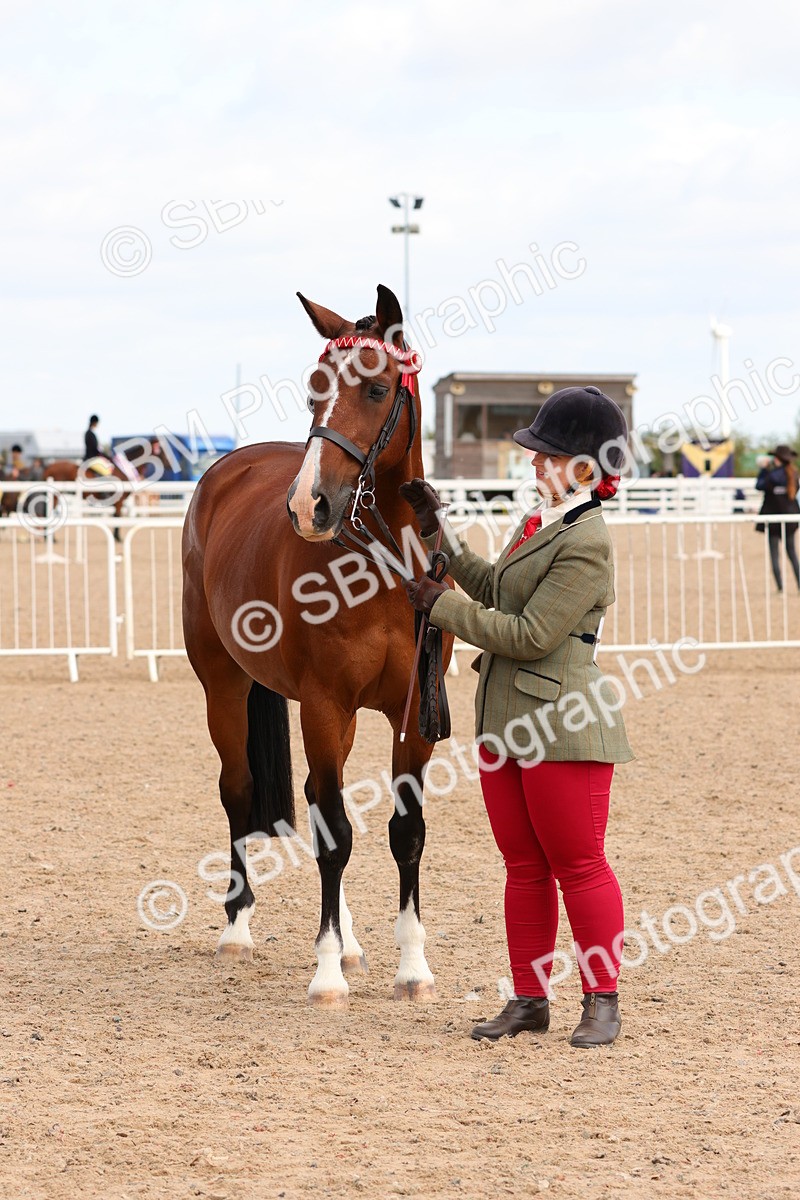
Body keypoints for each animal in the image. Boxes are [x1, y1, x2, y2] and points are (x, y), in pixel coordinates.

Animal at [182, 284, 454, 1008]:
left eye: (377, 388)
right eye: (314, 391)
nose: (310, 506)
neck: (385, 567)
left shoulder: (410, 716)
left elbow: (404, 833)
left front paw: (412, 968)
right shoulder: (324, 705)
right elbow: (335, 836)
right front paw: (327, 974)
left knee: (311, 799)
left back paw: (351, 940)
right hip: (224, 687)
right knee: (241, 791)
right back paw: (238, 928)